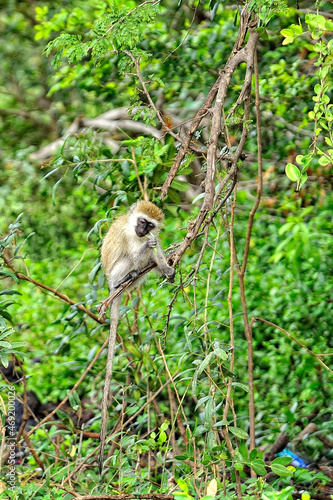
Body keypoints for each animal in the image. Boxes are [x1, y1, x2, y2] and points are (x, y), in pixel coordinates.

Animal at [98, 199, 175, 472]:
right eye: (141, 221)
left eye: (149, 224)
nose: (143, 231)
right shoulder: (127, 235)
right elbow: (134, 253)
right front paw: (147, 246)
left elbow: (156, 245)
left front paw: (164, 263)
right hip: (114, 277)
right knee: (127, 262)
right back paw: (127, 275)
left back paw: (163, 269)